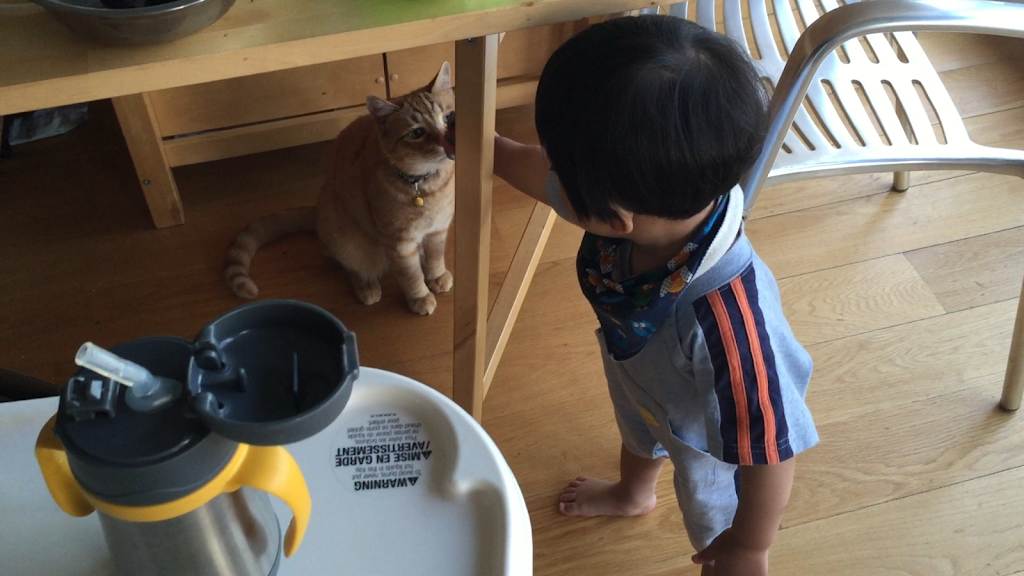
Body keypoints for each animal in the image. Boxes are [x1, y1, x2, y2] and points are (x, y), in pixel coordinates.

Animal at [224, 62, 455, 315]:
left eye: (447, 117)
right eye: (417, 133)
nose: (445, 141)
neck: (425, 185)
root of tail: (317, 212)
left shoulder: (438, 229)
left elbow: (435, 257)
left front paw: (436, 277)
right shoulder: (400, 244)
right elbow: (411, 275)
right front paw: (420, 297)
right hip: (350, 242)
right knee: (350, 265)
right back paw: (367, 287)